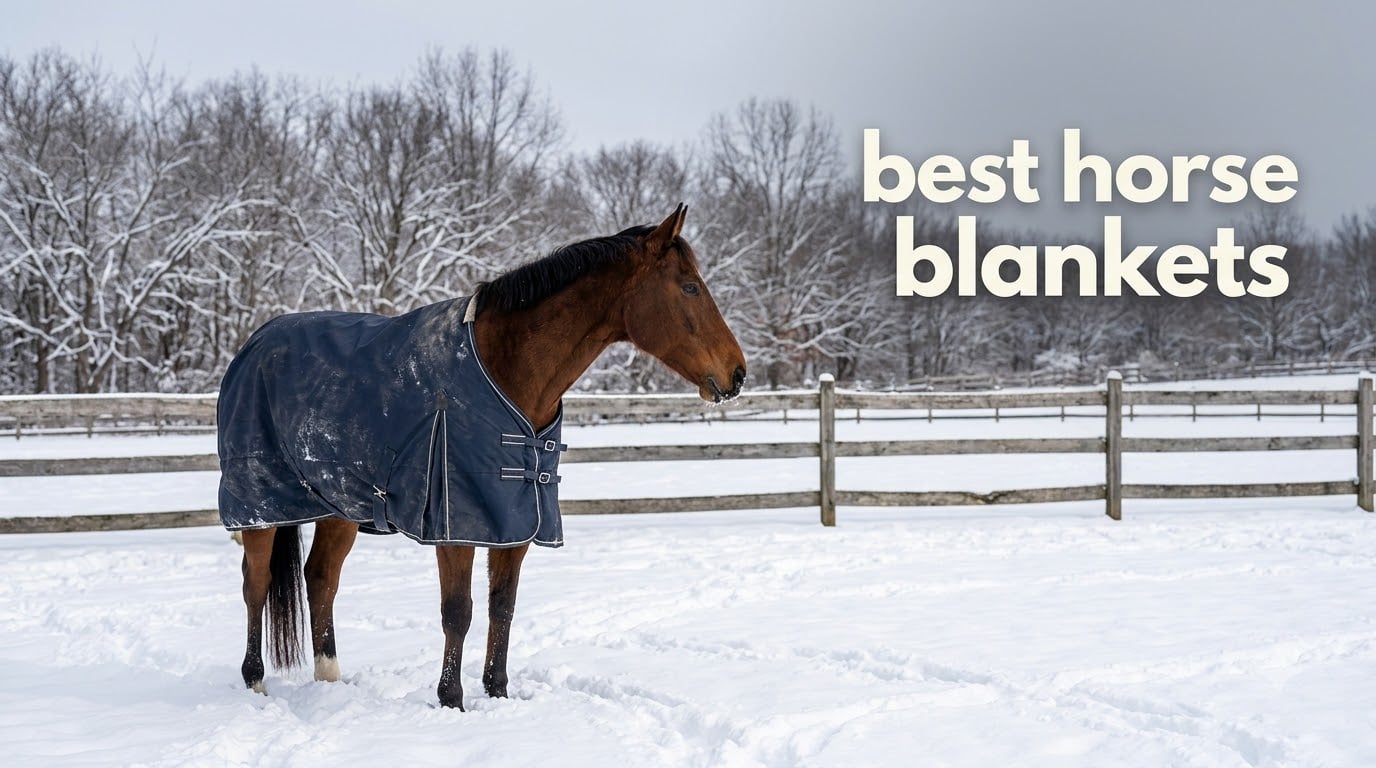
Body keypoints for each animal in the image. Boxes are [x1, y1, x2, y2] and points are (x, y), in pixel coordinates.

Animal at [219, 205, 746, 709]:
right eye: (690, 287)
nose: (737, 374)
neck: (506, 368)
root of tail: (255, 343)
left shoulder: (514, 522)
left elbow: (502, 608)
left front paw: (498, 693)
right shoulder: (457, 524)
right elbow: (459, 612)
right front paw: (451, 700)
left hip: (338, 506)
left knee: (321, 578)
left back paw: (330, 678)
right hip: (259, 507)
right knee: (256, 583)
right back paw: (255, 683)